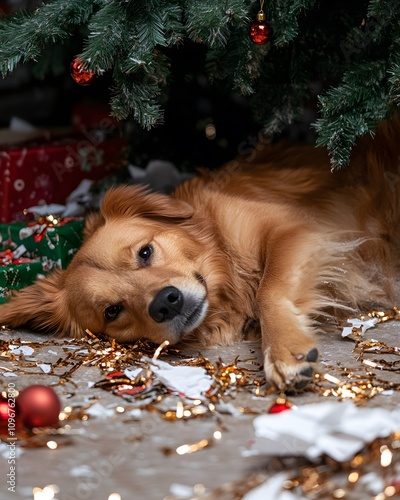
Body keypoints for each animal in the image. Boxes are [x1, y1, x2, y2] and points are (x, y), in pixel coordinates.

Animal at [0, 118, 398, 390]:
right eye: (112, 311)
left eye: (145, 252)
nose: (166, 303)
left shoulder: (294, 228)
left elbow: (269, 289)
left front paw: (284, 350)